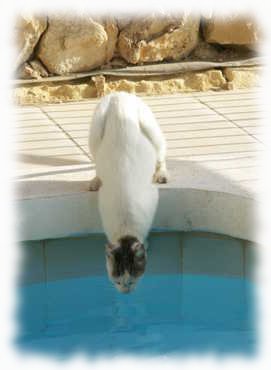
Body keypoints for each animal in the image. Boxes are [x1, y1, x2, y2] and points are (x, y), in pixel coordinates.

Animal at [89, 92, 169, 292]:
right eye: (116, 281)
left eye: (133, 281)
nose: (126, 293)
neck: (126, 226)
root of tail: (119, 94)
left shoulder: (153, 196)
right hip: (95, 131)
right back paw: (95, 180)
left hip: (151, 129)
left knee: (161, 154)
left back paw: (162, 174)